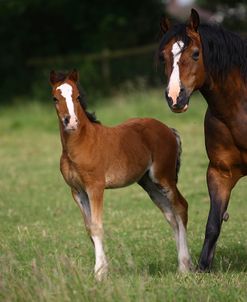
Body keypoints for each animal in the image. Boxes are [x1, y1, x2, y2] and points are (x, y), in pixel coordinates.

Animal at [158, 8, 247, 272]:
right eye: (163, 56)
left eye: (196, 53)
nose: (175, 97)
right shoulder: (220, 173)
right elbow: (213, 223)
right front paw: (203, 266)